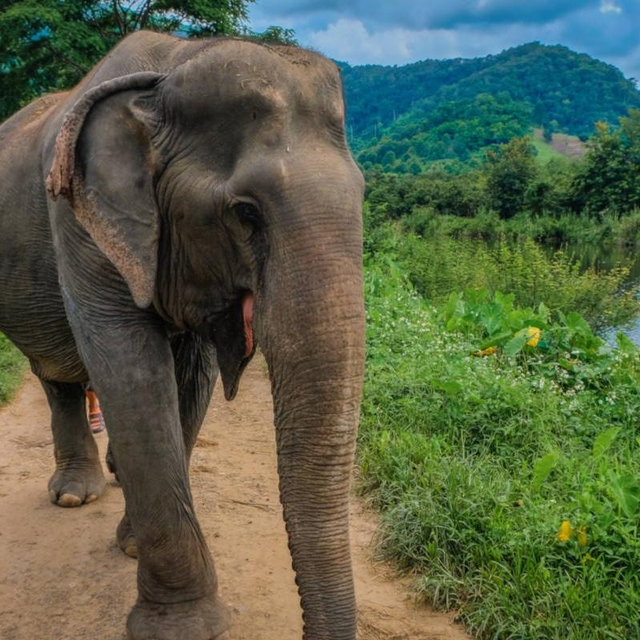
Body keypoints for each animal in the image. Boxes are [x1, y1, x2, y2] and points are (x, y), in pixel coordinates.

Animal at [0, 31, 365, 640]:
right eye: (245, 214)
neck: (174, 65)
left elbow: (191, 377)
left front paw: (129, 546)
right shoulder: (80, 219)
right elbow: (131, 371)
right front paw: (186, 625)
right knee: (55, 372)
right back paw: (74, 497)